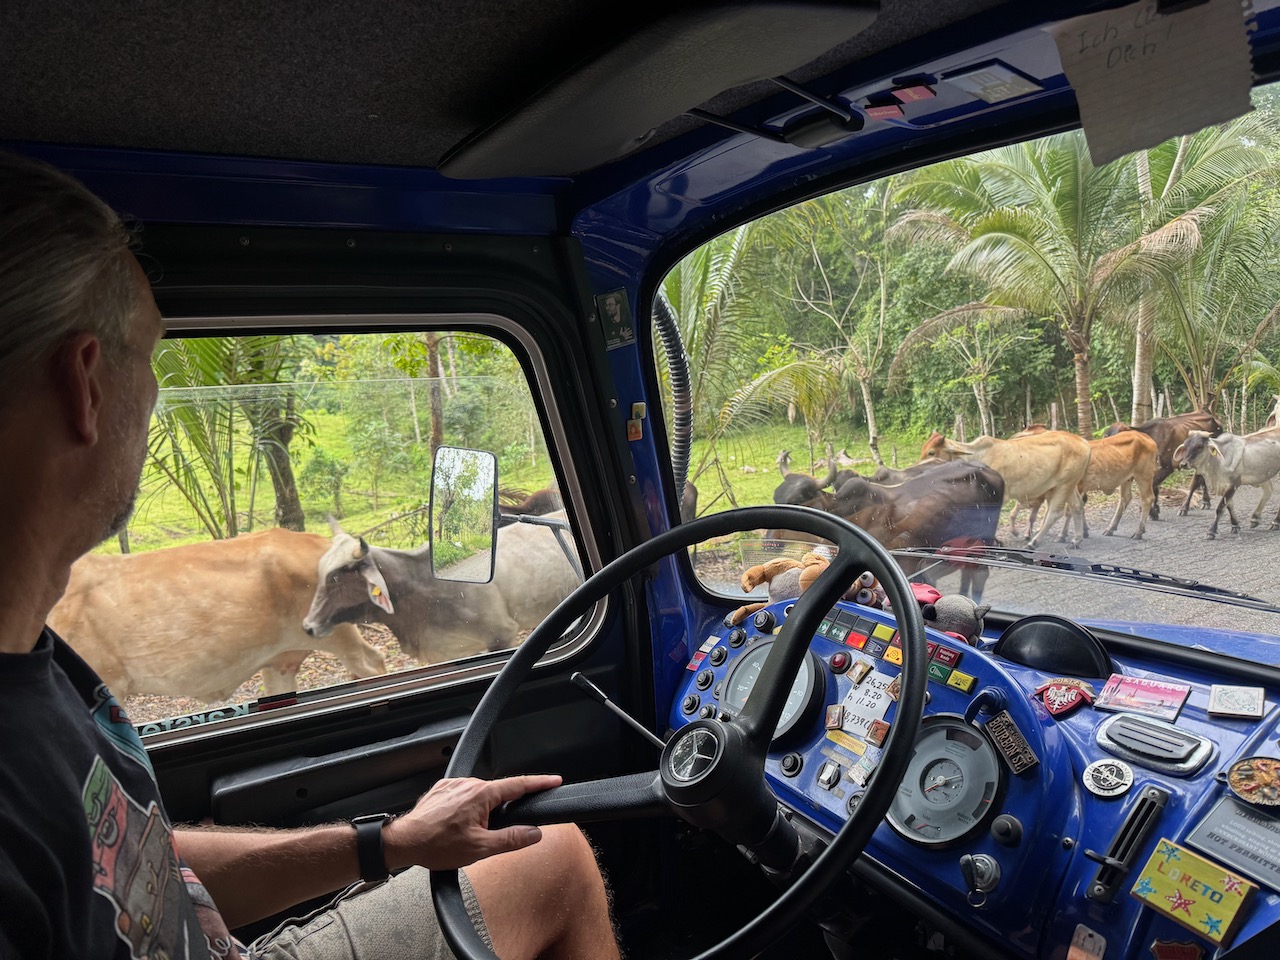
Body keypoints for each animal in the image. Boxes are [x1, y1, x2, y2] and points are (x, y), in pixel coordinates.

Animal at [921, 431, 1091, 547]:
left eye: (931, 452)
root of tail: (1083, 442)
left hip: (1064, 485)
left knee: (1055, 513)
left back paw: (1034, 542)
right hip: (1067, 485)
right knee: (1076, 506)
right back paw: (1076, 539)